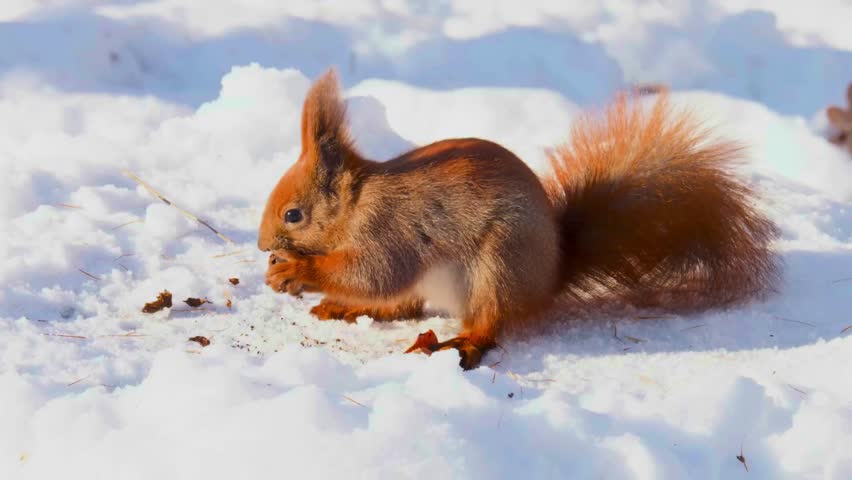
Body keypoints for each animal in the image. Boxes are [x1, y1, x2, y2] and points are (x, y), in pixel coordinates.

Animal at [258, 69, 780, 369]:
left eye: (293, 214)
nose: (264, 246)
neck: (356, 203)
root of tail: (549, 278)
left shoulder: (390, 228)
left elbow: (377, 272)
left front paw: (298, 269)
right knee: (404, 306)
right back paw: (347, 309)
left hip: (498, 267)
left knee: (489, 322)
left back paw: (463, 344)